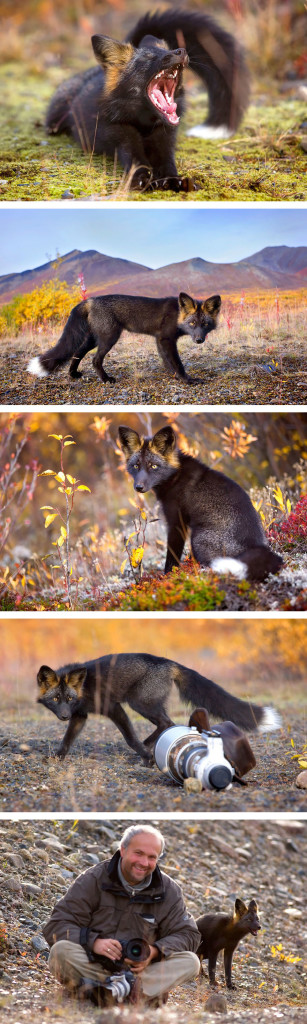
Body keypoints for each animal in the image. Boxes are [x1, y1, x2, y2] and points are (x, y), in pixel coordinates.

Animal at [26, 292, 221, 385]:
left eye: (205, 324)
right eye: (192, 323)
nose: (199, 340)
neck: (177, 315)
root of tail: (90, 300)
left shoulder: (159, 340)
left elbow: (167, 362)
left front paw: (174, 377)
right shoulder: (166, 339)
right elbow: (177, 363)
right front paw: (187, 380)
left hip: (94, 339)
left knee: (77, 353)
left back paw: (73, 374)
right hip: (109, 338)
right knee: (95, 360)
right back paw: (106, 379)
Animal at [36, 655, 280, 761]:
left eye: (68, 698)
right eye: (56, 699)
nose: (63, 716)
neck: (84, 689)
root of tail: (170, 662)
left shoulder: (113, 707)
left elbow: (130, 737)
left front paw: (147, 757)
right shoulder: (80, 716)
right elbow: (67, 740)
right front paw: (57, 757)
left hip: (140, 703)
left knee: (167, 722)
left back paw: (146, 749)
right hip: (145, 705)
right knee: (166, 723)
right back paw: (148, 746)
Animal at [118, 425, 284, 585]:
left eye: (153, 466)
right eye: (135, 466)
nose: (138, 487)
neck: (175, 476)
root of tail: (256, 546)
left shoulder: (176, 523)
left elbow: (171, 557)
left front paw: (167, 576)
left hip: (197, 539)